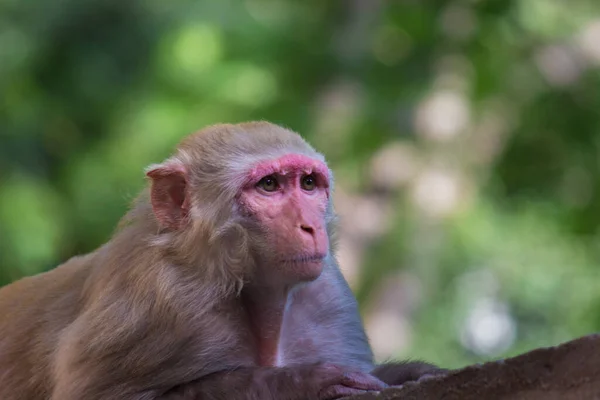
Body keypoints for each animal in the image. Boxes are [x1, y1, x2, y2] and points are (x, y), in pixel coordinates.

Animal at [0, 120, 442, 398]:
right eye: (269, 185)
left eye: (308, 183)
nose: (309, 227)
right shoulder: (155, 306)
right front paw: (298, 382)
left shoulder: (328, 295)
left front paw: (412, 373)